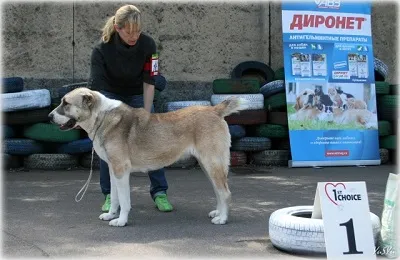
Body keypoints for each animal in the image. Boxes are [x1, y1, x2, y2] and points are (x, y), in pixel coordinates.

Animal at [48, 87, 248, 225]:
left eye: (66, 103)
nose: (49, 116)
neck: (101, 117)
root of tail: (214, 110)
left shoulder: (121, 171)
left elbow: (124, 200)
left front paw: (121, 221)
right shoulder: (113, 171)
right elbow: (114, 197)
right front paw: (111, 215)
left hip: (212, 164)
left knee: (225, 192)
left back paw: (222, 219)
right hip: (207, 166)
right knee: (218, 191)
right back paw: (218, 213)